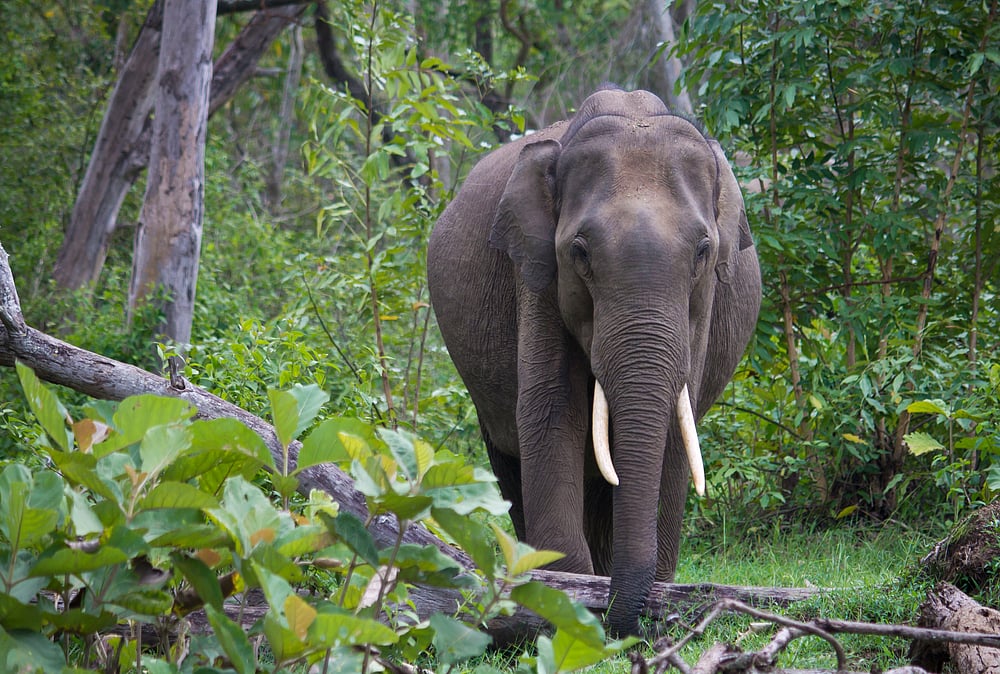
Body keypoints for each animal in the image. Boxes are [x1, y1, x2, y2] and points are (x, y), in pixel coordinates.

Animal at [426, 86, 761, 637]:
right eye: (579, 252)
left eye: (702, 251)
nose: (618, 621)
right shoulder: (535, 274)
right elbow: (550, 409)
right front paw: (570, 601)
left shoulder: (706, 300)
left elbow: (677, 422)